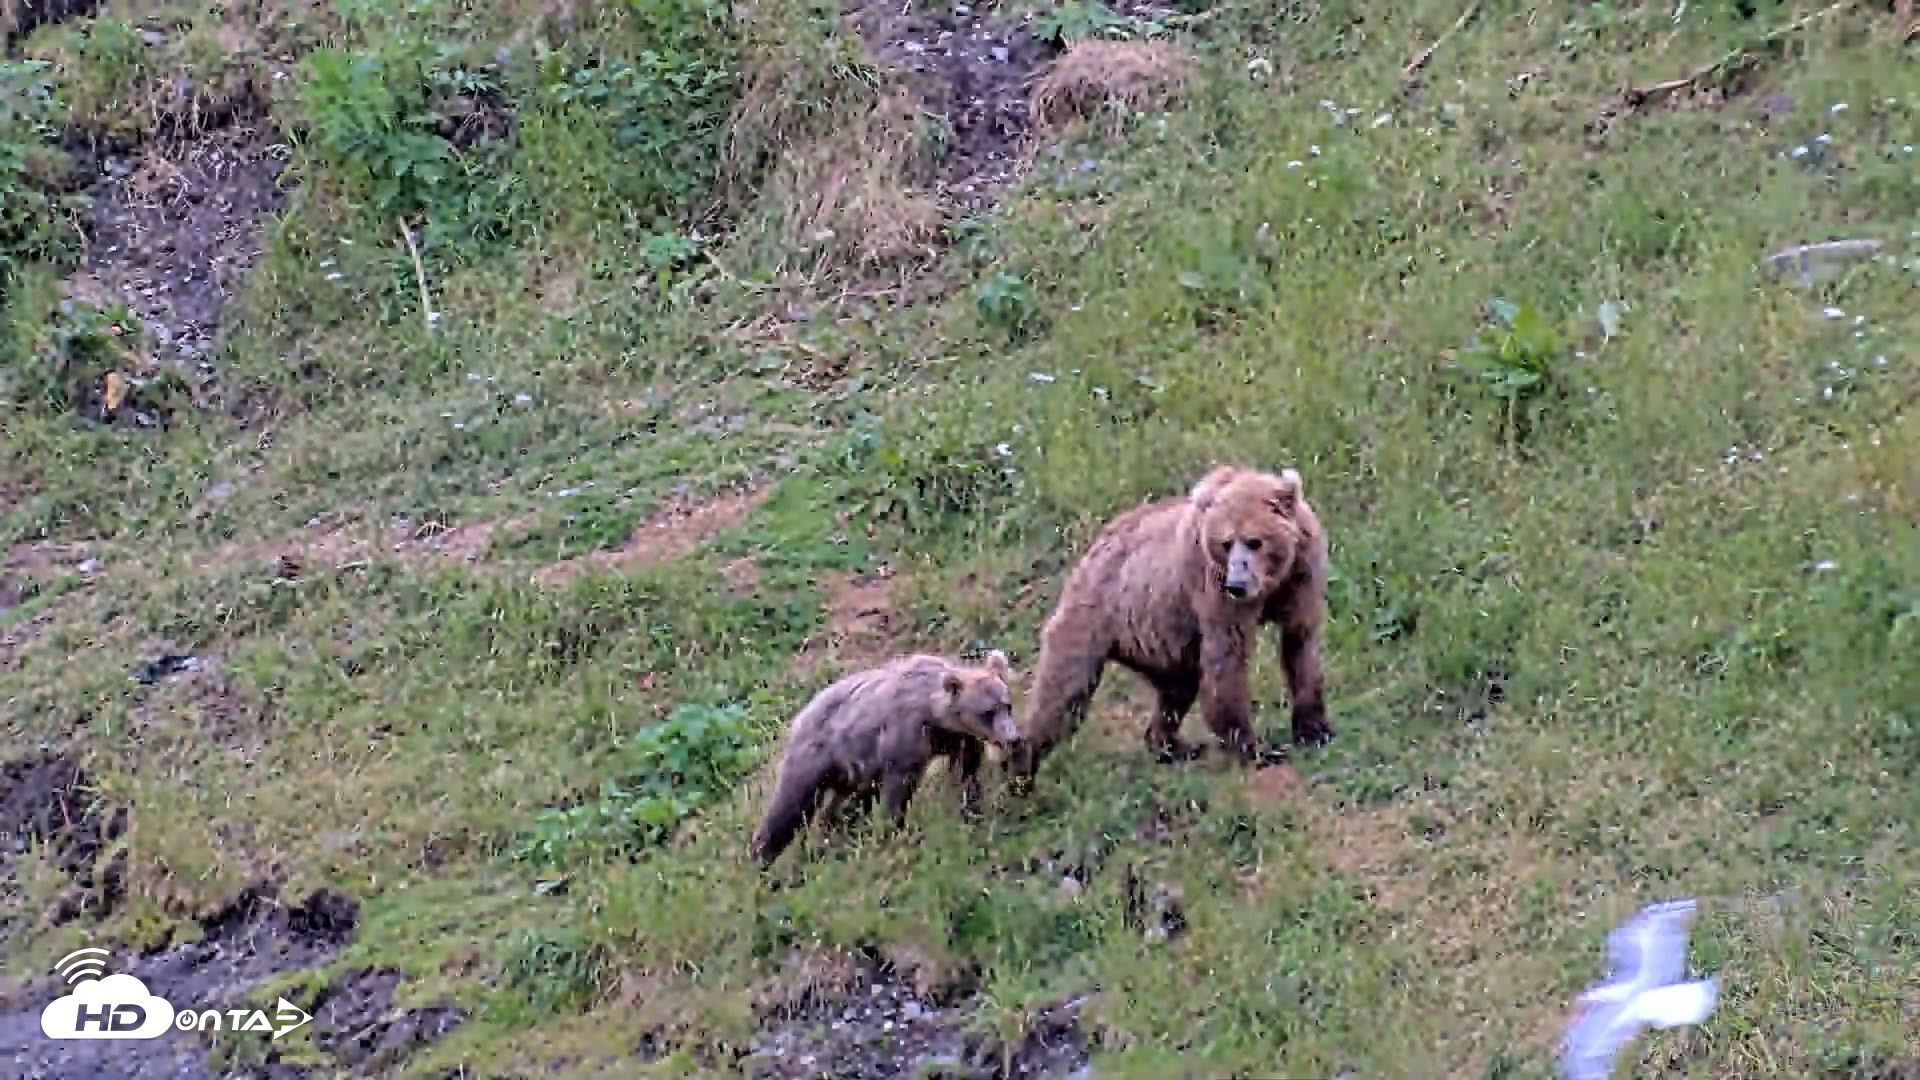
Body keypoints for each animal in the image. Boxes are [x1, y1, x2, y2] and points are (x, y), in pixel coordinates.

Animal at [750, 651, 1021, 868]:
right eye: (987, 712)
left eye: (1007, 705)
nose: (1013, 738)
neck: (936, 715)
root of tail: (800, 714)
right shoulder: (905, 738)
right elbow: (899, 788)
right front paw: (893, 831)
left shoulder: (957, 738)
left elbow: (967, 770)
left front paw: (972, 808)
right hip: (819, 754)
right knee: (791, 804)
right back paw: (762, 856)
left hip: (854, 771)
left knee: (843, 806)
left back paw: (829, 837)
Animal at [1006, 464, 1330, 788]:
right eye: (1226, 543)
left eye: (1254, 541)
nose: (1237, 585)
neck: (1271, 583)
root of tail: (1091, 550)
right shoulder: (1214, 590)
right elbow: (1227, 661)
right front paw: (1254, 747)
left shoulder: (1302, 576)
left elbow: (1300, 646)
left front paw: (1314, 731)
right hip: (1102, 615)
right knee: (1063, 691)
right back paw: (1021, 768)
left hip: (1164, 636)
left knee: (1177, 689)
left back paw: (1171, 745)